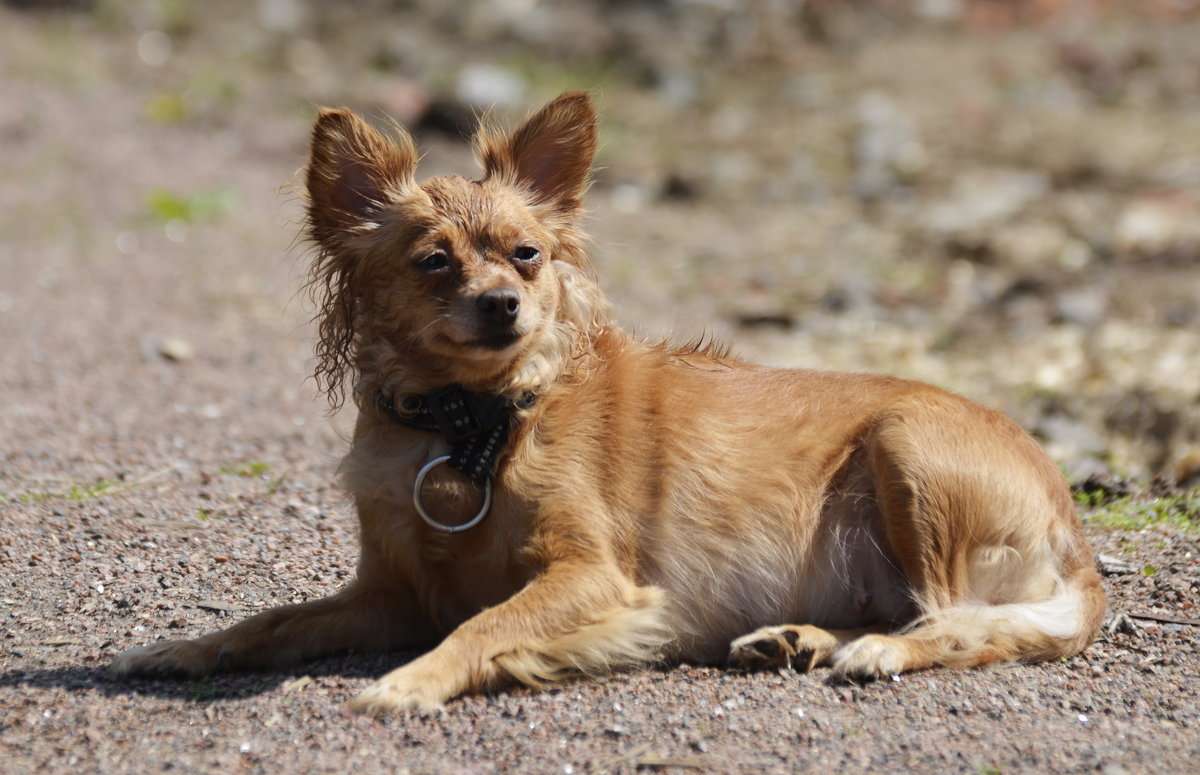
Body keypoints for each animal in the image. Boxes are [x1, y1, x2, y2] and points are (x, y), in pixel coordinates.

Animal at [110, 91, 1104, 715]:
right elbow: (273, 620)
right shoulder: (388, 596)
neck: (471, 423)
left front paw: (417, 681)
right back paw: (800, 638)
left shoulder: (593, 575)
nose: (502, 304)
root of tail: (1075, 533)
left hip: (905, 445)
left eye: (526, 256)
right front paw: (181, 648)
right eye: (432, 262)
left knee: (952, 622)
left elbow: (486, 620)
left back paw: (873, 650)